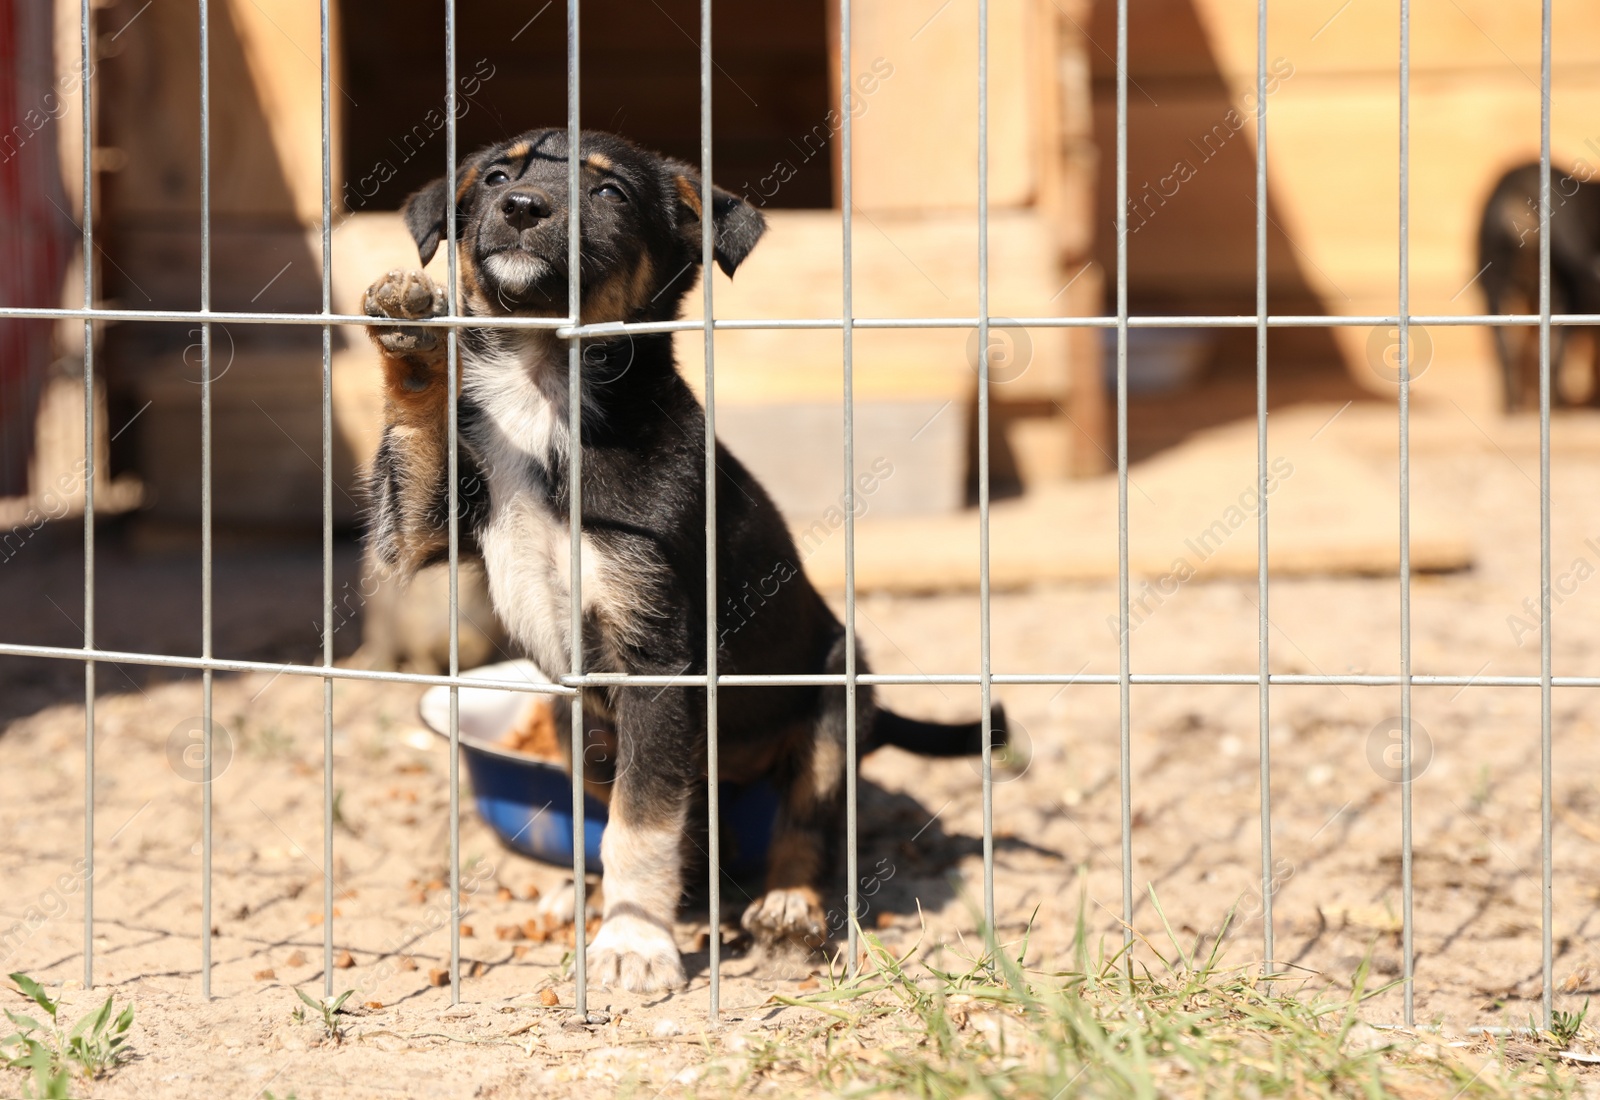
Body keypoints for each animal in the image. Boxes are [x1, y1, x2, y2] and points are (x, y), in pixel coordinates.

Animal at [368, 131, 1004, 997]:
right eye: (497, 176)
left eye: (609, 194)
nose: (522, 207)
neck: (546, 399)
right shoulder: (424, 530)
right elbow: (418, 438)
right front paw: (410, 333)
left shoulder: (657, 664)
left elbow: (641, 826)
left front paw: (635, 943)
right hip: (578, 726)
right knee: (666, 820)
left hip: (832, 699)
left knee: (804, 823)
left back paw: (789, 906)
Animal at [1472, 159, 1600, 407]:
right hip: (1560, 292)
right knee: (1554, 353)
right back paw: (1560, 405)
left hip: (1498, 287)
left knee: (1508, 350)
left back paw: (1512, 408)